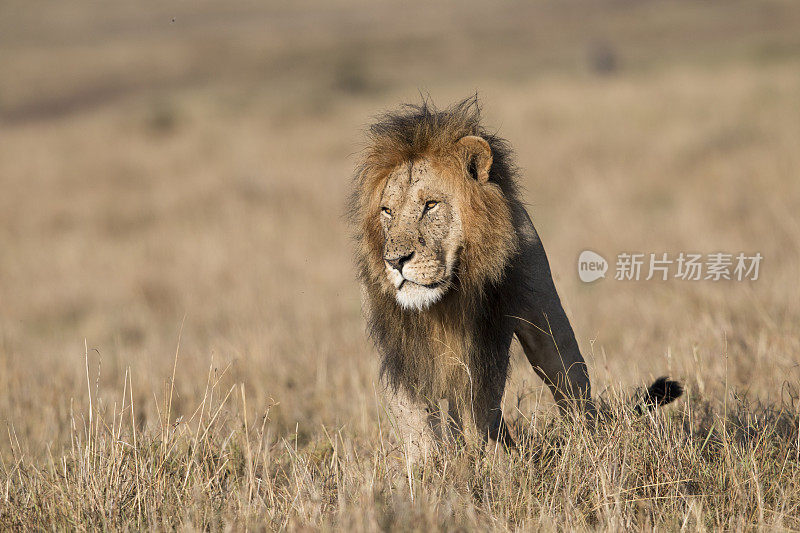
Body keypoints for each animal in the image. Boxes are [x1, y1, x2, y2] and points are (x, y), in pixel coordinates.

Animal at [350, 97, 680, 460]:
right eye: (387, 212)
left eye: (431, 205)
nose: (395, 261)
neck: (441, 304)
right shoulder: (398, 350)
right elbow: (415, 420)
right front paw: (428, 468)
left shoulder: (481, 345)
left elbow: (477, 411)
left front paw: (483, 464)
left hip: (548, 324)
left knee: (571, 386)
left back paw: (591, 446)